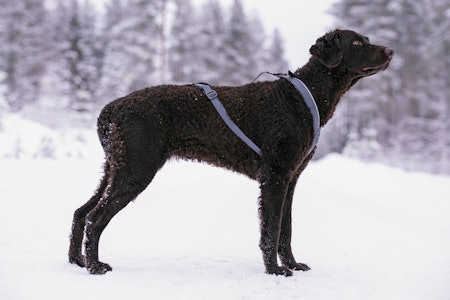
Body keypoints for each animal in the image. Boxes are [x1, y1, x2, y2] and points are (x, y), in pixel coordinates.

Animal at [68, 29, 392, 276]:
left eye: (366, 39)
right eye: (356, 43)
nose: (390, 50)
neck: (304, 95)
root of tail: (112, 108)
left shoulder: (290, 179)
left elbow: (286, 230)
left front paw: (292, 265)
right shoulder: (274, 177)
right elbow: (271, 230)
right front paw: (275, 270)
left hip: (115, 167)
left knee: (81, 212)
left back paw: (77, 261)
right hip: (136, 169)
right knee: (95, 218)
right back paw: (95, 266)